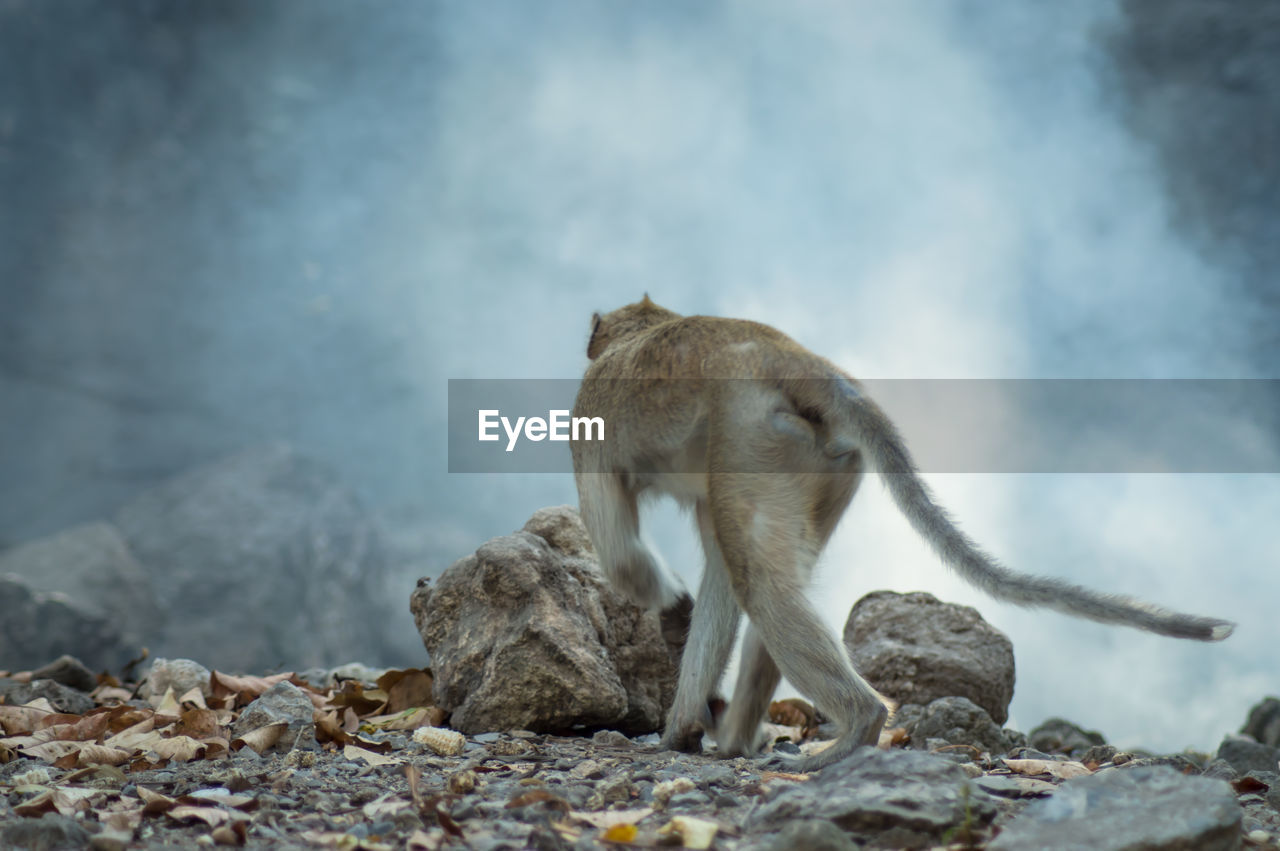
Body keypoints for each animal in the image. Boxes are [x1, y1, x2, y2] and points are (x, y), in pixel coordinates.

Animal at [570, 295, 1228, 772]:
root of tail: (805, 365)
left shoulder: (589, 417)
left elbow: (622, 554)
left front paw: (666, 603)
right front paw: (684, 725)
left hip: (753, 435)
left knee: (760, 583)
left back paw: (853, 728)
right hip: (819, 459)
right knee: (766, 576)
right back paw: (736, 738)